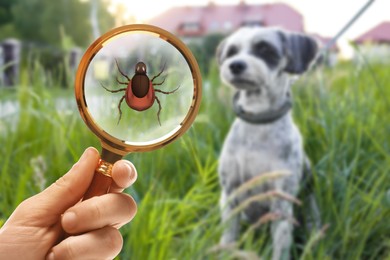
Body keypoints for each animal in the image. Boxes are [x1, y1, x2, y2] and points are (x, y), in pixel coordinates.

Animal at [216, 26, 320, 260]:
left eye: (264, 49)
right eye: (231, 51)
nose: (236, 65)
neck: (259, 122)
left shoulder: (281, 199)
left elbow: (281, 243)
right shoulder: (230, 194)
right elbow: (228, 237)